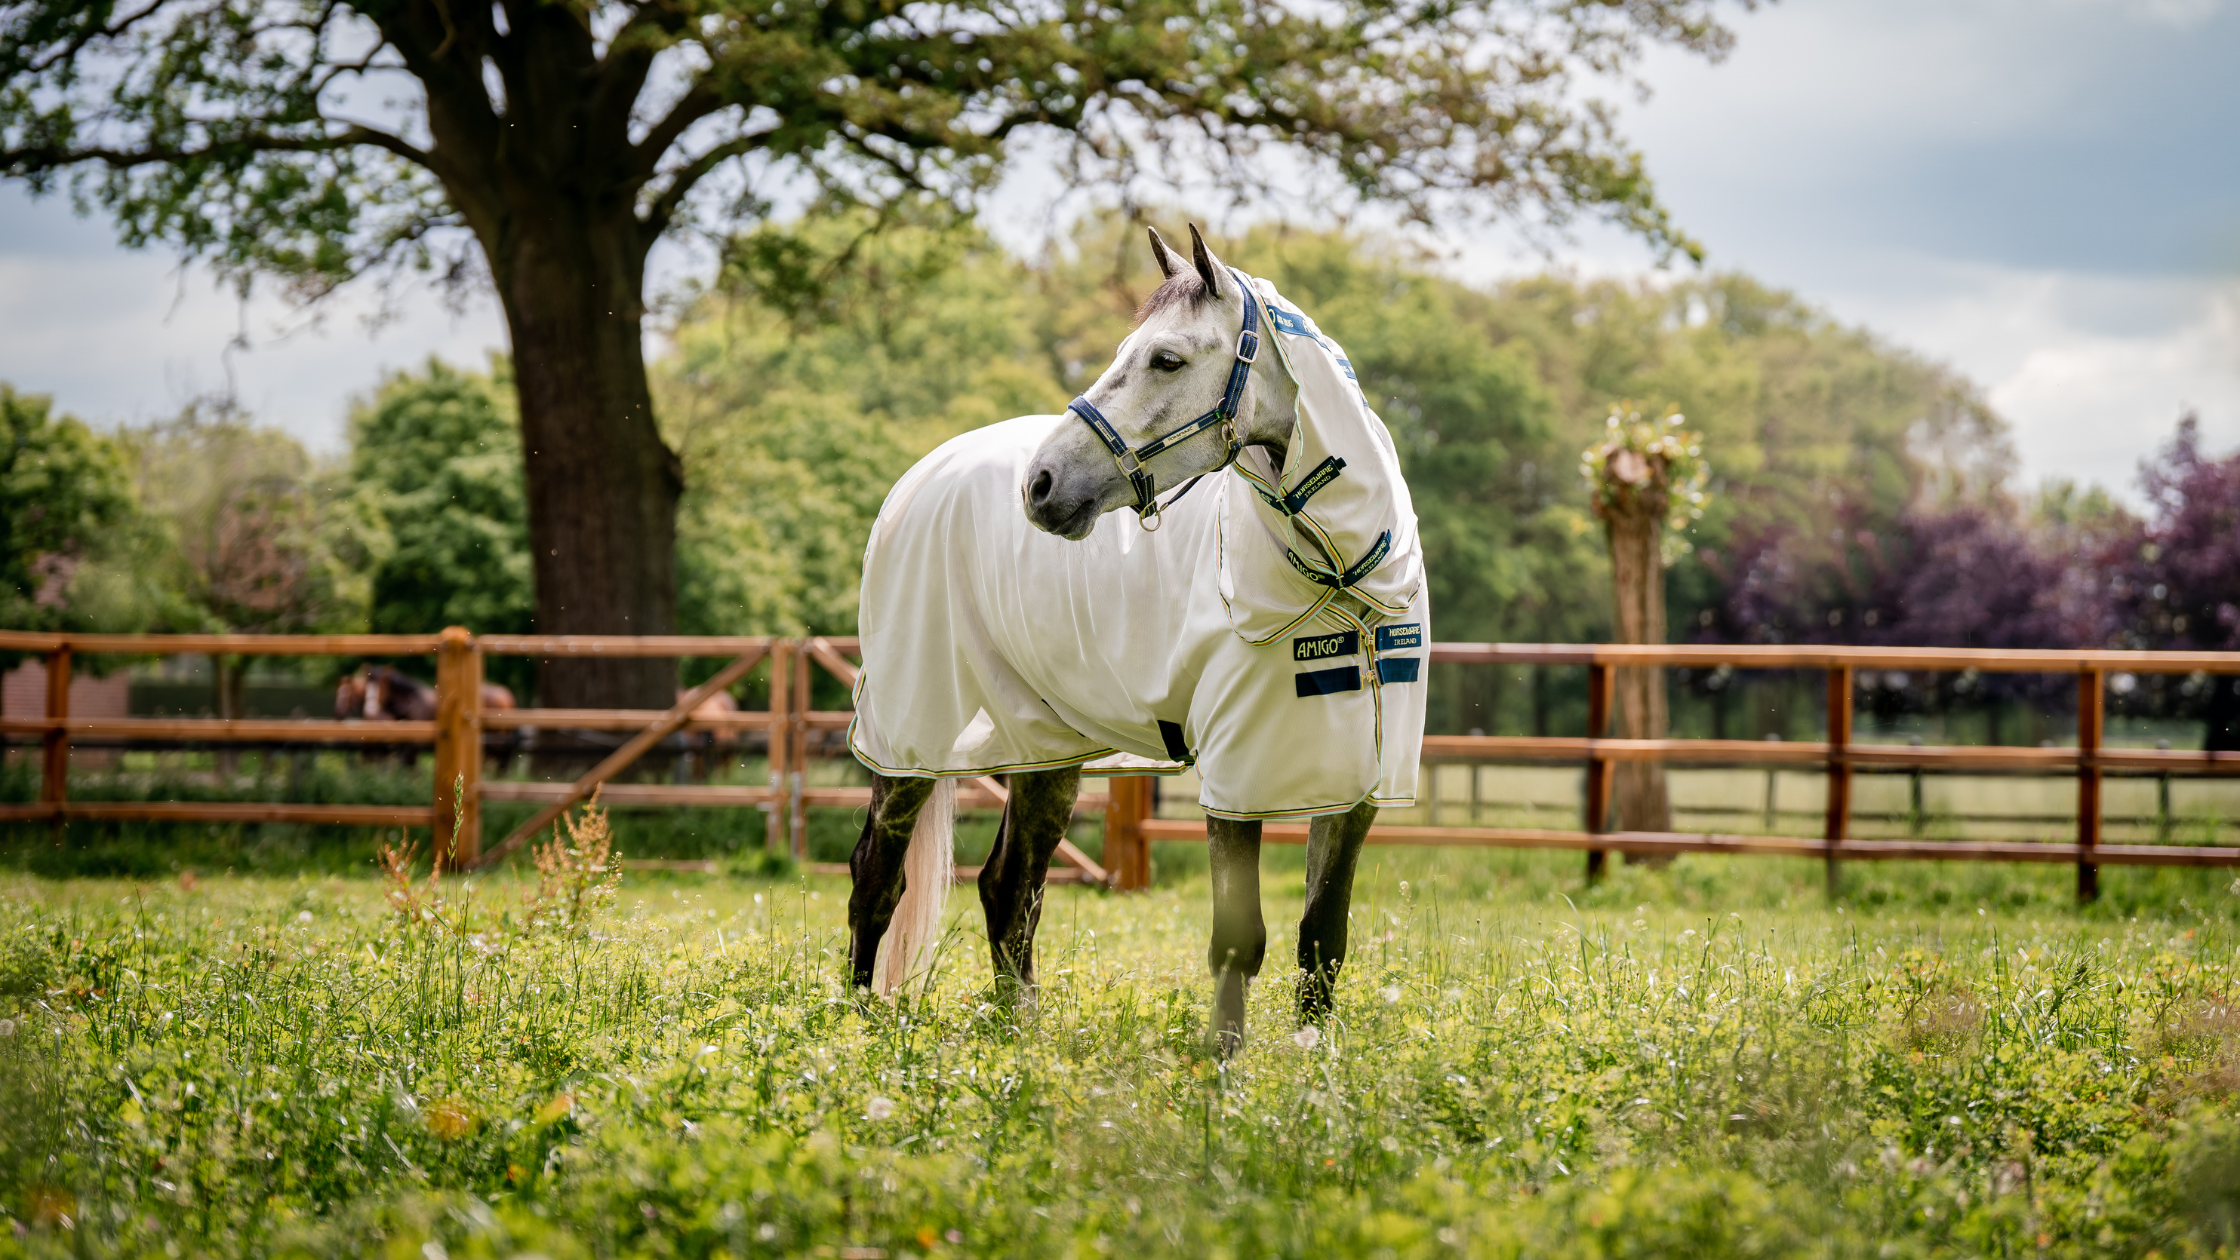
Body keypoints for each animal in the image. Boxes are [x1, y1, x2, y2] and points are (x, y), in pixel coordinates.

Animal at [846, 225, 1424, 1049]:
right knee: (877, 875)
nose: (1041, 485)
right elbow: (1239, 938)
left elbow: (1323, 936)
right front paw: (1224, 1064)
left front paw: (1314, 1058)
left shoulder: (1356, 784)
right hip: (911, 735)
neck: (1342, 577)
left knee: (1007, 886)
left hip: (1042, 748)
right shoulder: (1236, 781)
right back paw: (856, 1026)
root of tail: (919, 481)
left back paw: (1022, 1033)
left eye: (1167, 359)